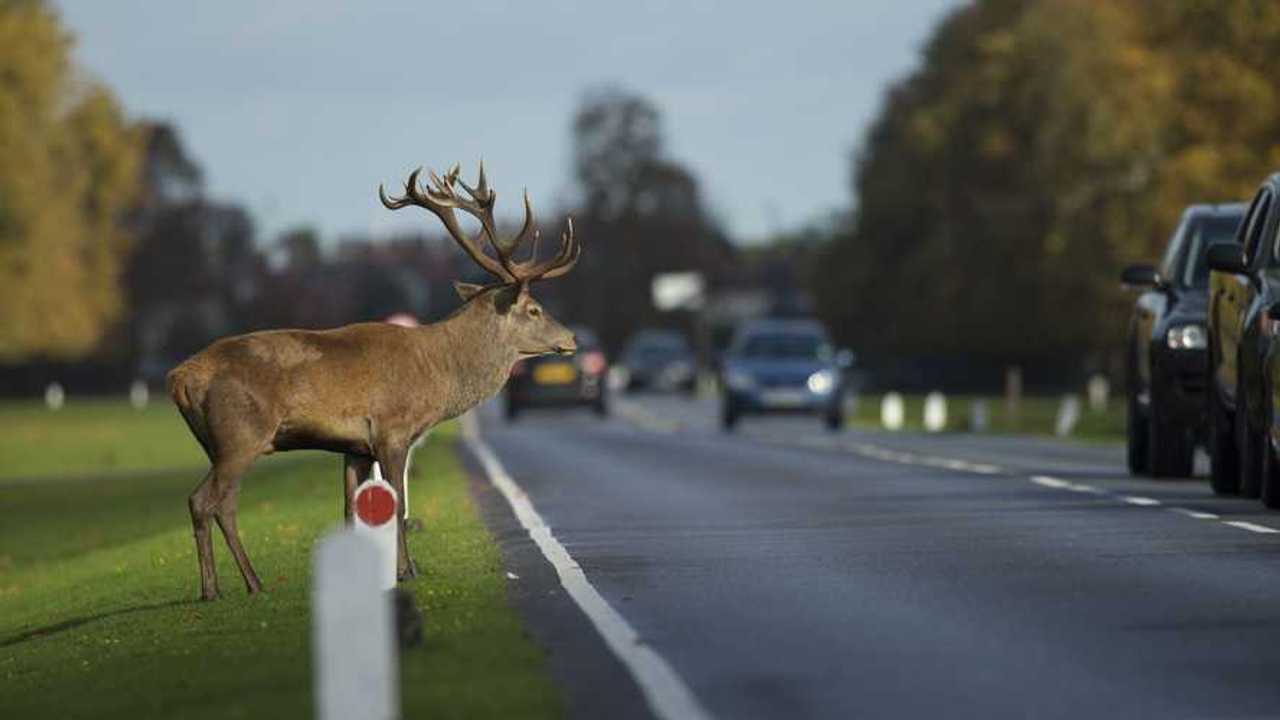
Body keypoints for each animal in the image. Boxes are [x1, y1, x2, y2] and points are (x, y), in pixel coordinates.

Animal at [167, 162, 580, 601]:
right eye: (534, 309)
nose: (572, 338)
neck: (439, 372)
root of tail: (179, 378)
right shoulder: (392, 431)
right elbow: (398, 505)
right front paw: (406, 571)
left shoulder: (354, 447)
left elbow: (351, 510)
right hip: (240, 435)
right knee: (202, 500)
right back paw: (212, 589)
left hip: (218, 444)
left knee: (225, 505)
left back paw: (252, 582)